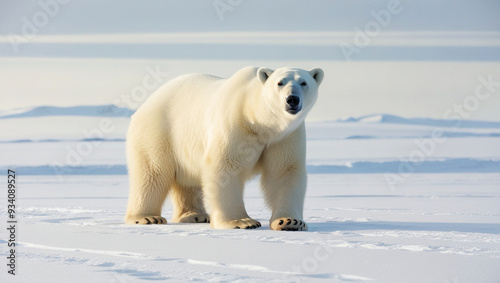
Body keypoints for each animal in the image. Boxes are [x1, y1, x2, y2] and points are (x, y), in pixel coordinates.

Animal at [125, 66, 324, 231]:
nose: (292, 99)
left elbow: (284, 171)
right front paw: (241, 222)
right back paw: (147, 217)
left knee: (187, 181)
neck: (259, 122)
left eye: (304, 82)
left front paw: (290, 221)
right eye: (280, 82)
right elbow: (225, 167)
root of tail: (147, 102)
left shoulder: (284, 137)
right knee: (153, 172)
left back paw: (195, 215)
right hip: (159, 132)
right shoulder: (235, 124)